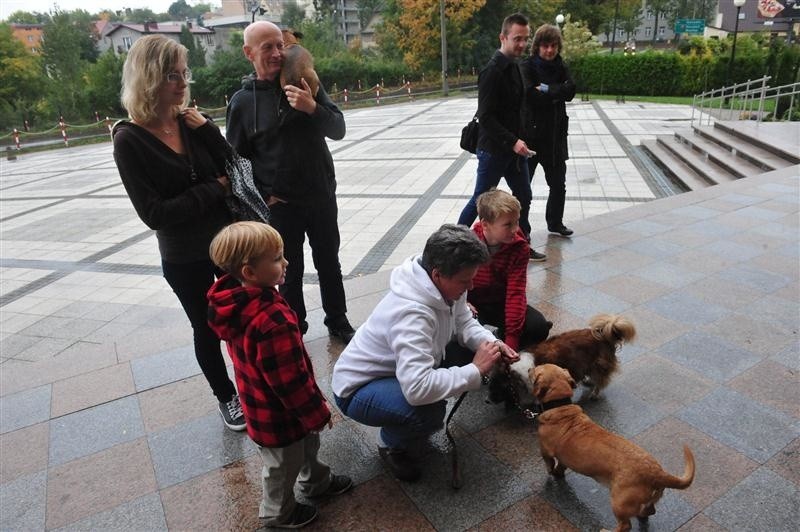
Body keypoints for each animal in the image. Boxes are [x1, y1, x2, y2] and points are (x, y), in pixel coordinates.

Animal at [532, 364, 692, 532]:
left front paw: (552, 472)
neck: (561, 407)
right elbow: (561, 466)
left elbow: (549, 464)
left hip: (619, 502)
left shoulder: (545, 451)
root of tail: (657, 473)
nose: (529, 368)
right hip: (647, 499)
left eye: (536, 370)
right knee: (649, 511)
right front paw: (558, 473)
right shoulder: (563, 458)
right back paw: (642, 514)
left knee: (625, 525)